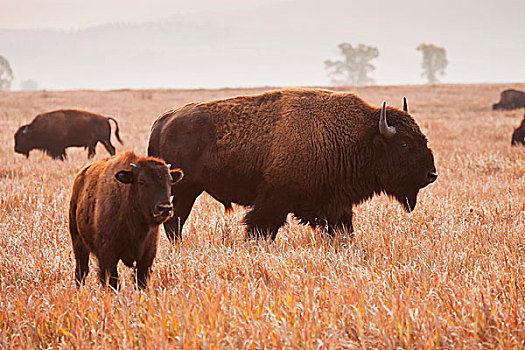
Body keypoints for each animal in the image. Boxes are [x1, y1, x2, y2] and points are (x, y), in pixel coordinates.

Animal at [69, 152, 184, 288]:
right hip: (78, 243)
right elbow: (112, 281)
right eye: (141, 181)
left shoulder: (147, 255)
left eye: (170, 181)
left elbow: (141, 280)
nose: (165, 208)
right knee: (81, 271)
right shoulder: (107, 255)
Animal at [148, 88, 438, 241]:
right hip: (185, 190)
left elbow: (341, 227)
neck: (358, 136)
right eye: (404, 144)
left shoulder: (336, 203)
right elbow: (260, 227)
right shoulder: (273, 199)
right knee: (175, 222)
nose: (431, 174)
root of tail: (163, 120)